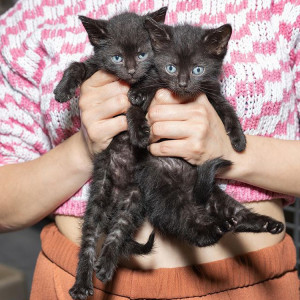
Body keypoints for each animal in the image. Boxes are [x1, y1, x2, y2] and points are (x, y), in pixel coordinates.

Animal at [54, 7, 168, 300]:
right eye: (117, 57)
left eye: (142, 54)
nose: (131, 69)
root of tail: (117, 196)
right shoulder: (97, 68)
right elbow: (78, 65)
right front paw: (63, 89)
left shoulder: (156, 81)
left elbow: (136, 104)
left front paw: (138, 131)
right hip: (99, 193)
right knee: (89, 239)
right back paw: (83, 283)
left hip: (136, 196)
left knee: (118, 231)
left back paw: (105, 266)